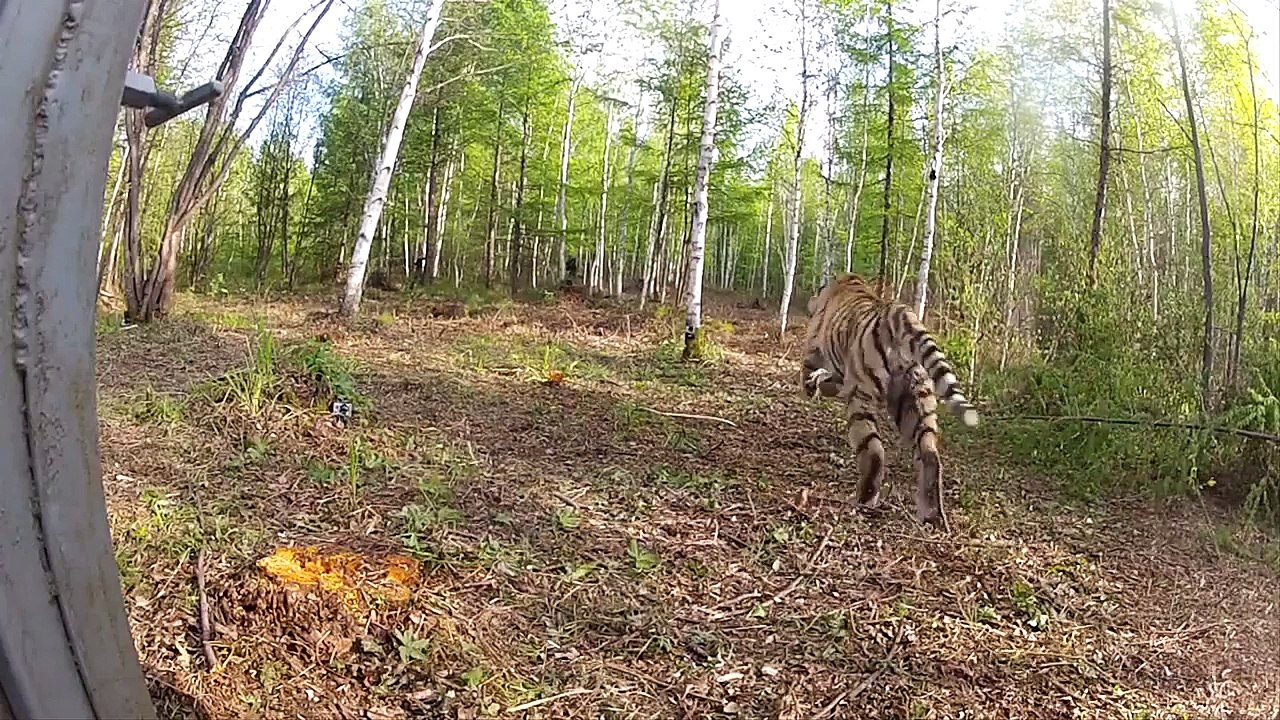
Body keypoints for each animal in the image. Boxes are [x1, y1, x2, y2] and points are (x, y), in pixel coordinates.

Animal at [799, 273, 979, 530]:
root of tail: (901, 315)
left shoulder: (816, 350)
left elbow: (812, 372)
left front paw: (811, 385)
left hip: (861, 398)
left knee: (874, 451)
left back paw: (863, 500)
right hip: (917, 402)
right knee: (930, 456)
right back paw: (932, 515)